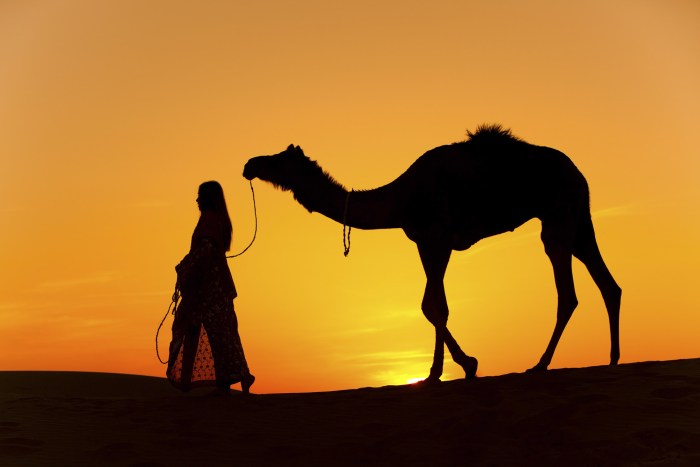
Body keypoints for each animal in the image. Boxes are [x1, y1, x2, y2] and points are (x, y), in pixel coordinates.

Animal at [242, 124, 621, 383]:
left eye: (279, 160)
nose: (250, 164)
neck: (399, 199)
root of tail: (578, 171)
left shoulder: (437, 239)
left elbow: (434, 307)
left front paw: (452, 368)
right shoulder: (424, 243)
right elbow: (433, 306)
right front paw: (453, 367)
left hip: (558, 217)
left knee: (567, 293)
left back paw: (541, 364)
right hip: (579, 219)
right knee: (608, 285)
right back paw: (613, 358)